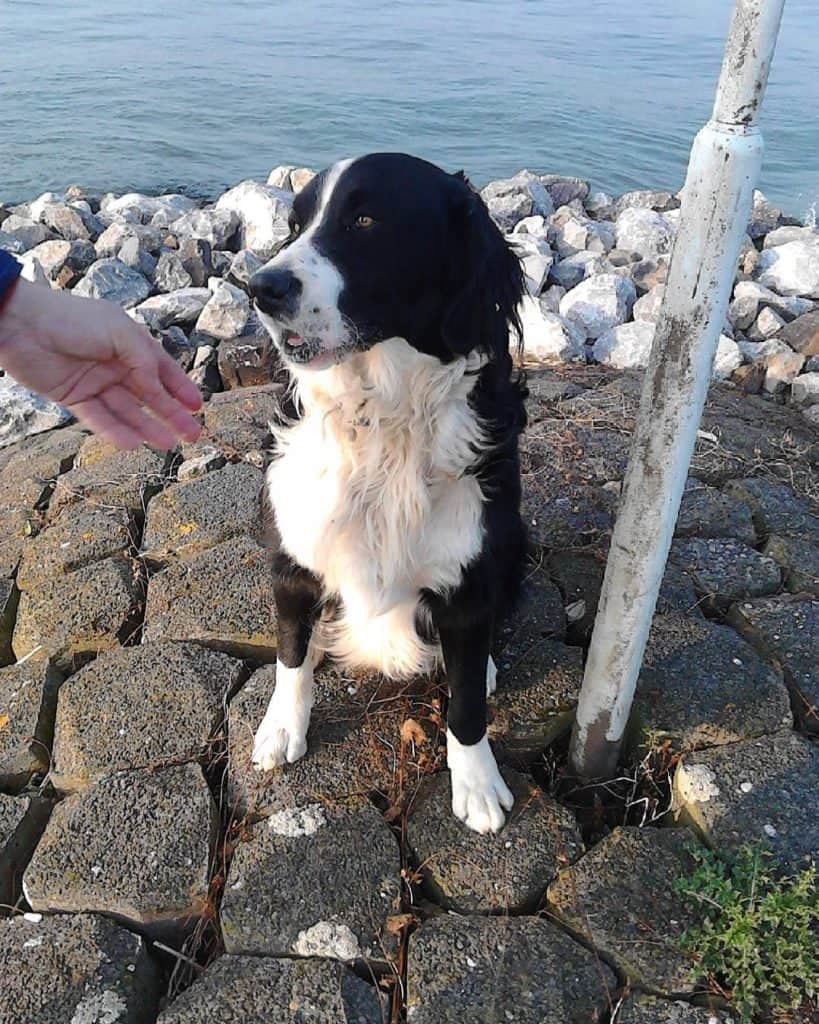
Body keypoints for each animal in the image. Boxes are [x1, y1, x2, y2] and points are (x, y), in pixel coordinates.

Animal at [247, 149, 524, 831]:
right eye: (295, 226)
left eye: (366, 221)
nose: (260, 288)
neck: (381, 417)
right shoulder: (292, 557)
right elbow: (290, 655)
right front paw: (281, 728)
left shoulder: (469, 577)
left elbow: (466, 705)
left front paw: (477, 783)